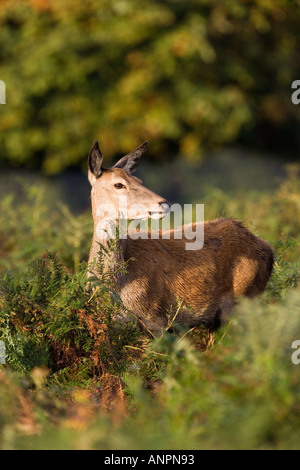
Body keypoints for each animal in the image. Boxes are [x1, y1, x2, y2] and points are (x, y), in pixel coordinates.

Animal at [87, 140, 274, 330]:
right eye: (118, 184)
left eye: (139, 180)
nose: (164, 203)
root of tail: (268, 249)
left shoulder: (156, 317)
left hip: (242, 299)